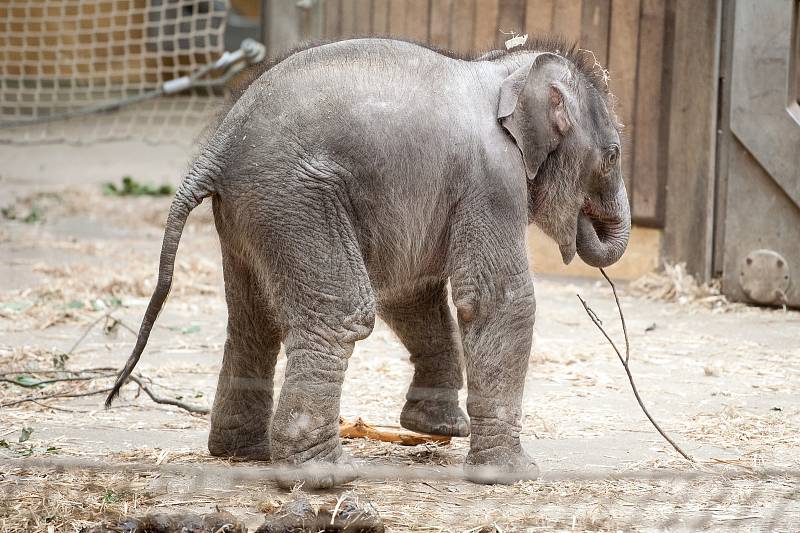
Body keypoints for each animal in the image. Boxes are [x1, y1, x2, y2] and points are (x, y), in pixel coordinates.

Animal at [106, 37, 632, 486]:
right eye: (612, 157)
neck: (503, 71)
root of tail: (217, 149)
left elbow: (410, 291)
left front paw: (439, 429)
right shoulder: (493, 181)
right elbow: (497, 302)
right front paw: (512, 475)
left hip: (249, 213)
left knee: (254, 320)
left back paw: (244, 453)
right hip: (296, 200)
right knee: (338, 315)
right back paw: (323, 477)